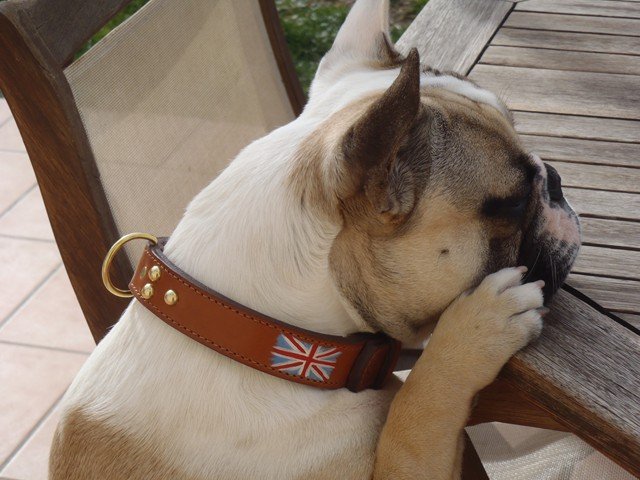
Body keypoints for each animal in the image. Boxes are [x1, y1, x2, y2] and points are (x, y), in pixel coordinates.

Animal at [50, 0, 580, 478]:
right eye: (513, 202)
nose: (555, 178)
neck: (269, 339)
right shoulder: (406, 463)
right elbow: (414, 414)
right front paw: (475, 328)